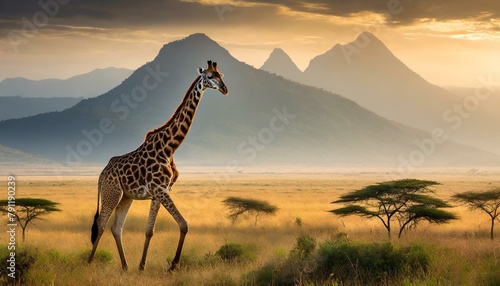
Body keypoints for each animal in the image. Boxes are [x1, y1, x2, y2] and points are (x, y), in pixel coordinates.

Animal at [87, 59, 228, 270]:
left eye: (222, 75)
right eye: (210, 76)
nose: (225, 89)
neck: (170, 147)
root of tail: (102, 174)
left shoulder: (161, 191)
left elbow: (149, 230)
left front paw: (141, 266)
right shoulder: (160, 189)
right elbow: (184, 224)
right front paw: (173, 265)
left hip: (126, 196)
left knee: (116, 228)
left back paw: (125, 266)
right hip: (111, 192)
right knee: (101, 225)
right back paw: (88, 263)